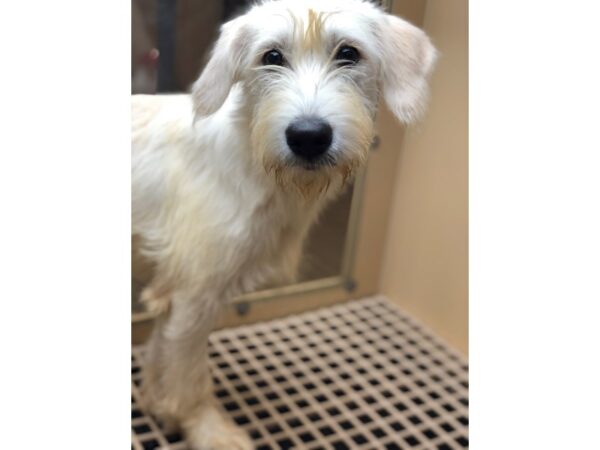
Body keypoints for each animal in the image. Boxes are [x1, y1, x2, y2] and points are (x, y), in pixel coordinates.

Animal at [131, 0, 436, 446]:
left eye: (349, 53)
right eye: (271, 56)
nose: (308, 136)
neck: (251, 158)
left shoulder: (171, 289)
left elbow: (160, 352)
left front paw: (157, 404)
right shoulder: (195, 293)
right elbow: (189, 373)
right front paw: (206, 428)